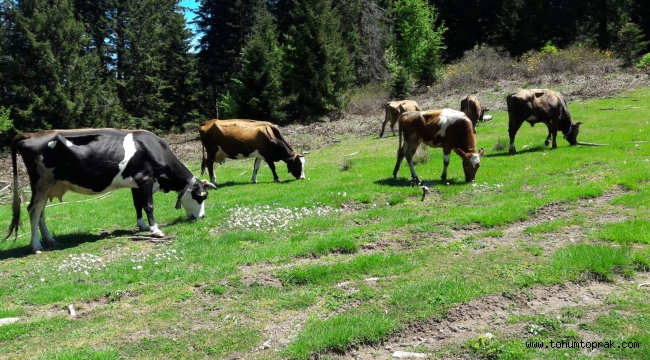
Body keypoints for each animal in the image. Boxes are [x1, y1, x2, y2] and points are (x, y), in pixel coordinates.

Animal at [5, 129, 215, 253]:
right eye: (201, 196)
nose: (203, 216)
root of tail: (29, 135)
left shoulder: (136, 183)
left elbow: (137, 205)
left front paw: (142, 226)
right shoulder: (145, 178)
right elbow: (148, 205)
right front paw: (155, 230)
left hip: (47, 185)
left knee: (40, 211)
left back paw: (50, 240)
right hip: (42, 181)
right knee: (33, 209)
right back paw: (36, 246)